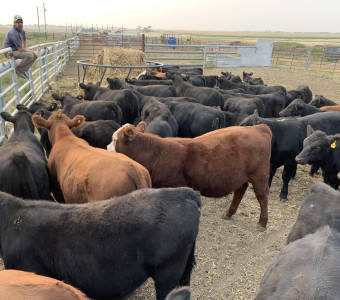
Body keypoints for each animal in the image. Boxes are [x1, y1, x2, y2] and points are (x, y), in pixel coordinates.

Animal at [107, 123, 272, 229]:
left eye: (115, 140)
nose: (107, 148)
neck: (157, 153)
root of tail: (258, 127)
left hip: (259, 176)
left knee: (262, 196)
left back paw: (262, 222)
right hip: (241, 176)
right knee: (240, 191)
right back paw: (229, 213)